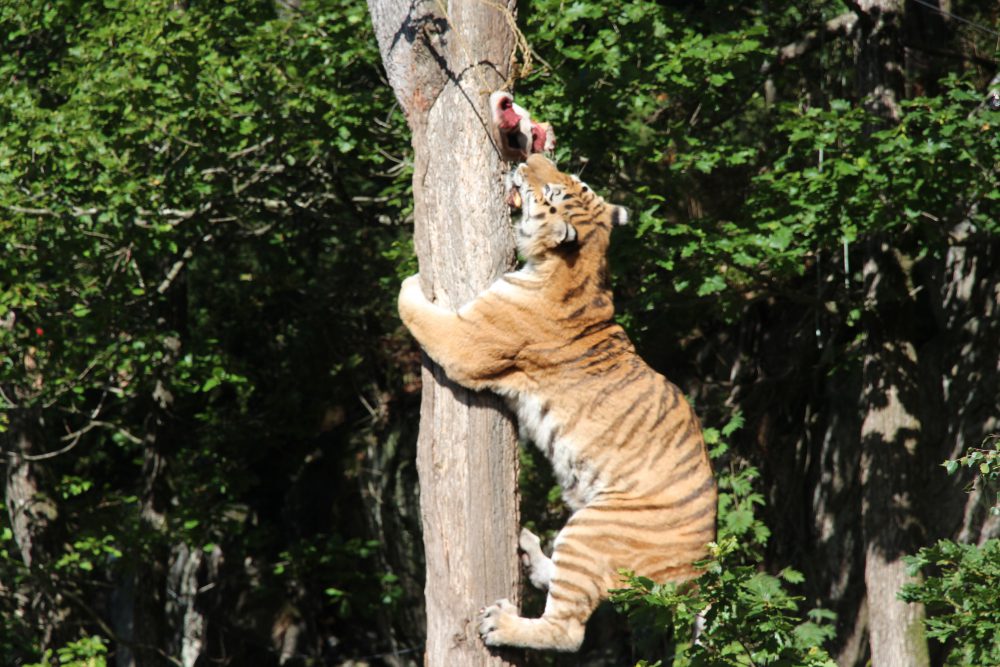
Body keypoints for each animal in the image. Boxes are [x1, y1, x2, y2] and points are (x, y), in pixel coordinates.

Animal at [394, 154, 716, 648]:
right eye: (571, 181)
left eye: (553, 193)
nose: (530, 158)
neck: (578, 265)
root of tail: (697, 576)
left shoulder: (465, 342)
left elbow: (417, 311)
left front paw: (408, 279)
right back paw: (528, 549)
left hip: (591, 530)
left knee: (567, 629)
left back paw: (500, 623)